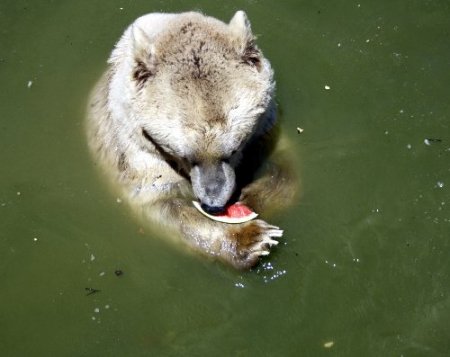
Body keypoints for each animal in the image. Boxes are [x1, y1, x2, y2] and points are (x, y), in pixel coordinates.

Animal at [86, 9, 298, 268]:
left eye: (234, 148)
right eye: (185, 155)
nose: (214, 203)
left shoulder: (266, 129)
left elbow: (285, 169)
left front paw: (249, 197)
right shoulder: (138, 155)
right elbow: (163, 206)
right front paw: (253, 238)